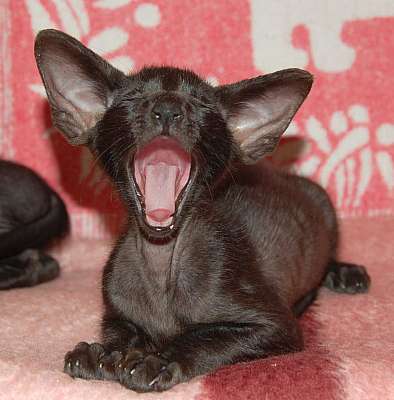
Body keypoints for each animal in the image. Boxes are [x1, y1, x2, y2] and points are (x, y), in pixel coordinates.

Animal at [33, 29, 370, 392]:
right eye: (133, 99)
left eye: (202, 107)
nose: (167, 109)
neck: (161, 260)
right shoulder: (116, 315)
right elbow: (122, 334)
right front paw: (106, 353)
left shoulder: (275, 326)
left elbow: (204, 338)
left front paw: (156, 359)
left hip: (324, 205)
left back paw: (345, 273)